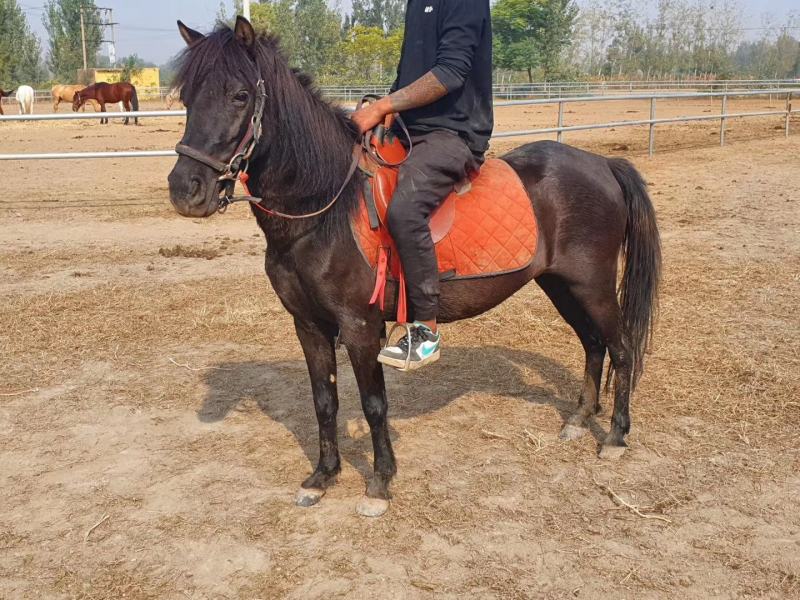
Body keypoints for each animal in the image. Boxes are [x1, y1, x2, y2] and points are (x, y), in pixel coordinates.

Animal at [167, 18, 661, 517]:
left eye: (240, 96)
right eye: (187, 97)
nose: (185, 190)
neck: (324, 209)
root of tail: (603, 163)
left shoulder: (360, 327)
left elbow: (373, 405)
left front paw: (380, 484)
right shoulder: (308, 324)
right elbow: (324, 400)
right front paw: (323, 477)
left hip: (592, 284)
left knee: (620, 347)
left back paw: (615, 436)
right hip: (560, 284)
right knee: (593, 344)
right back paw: (579, 419)